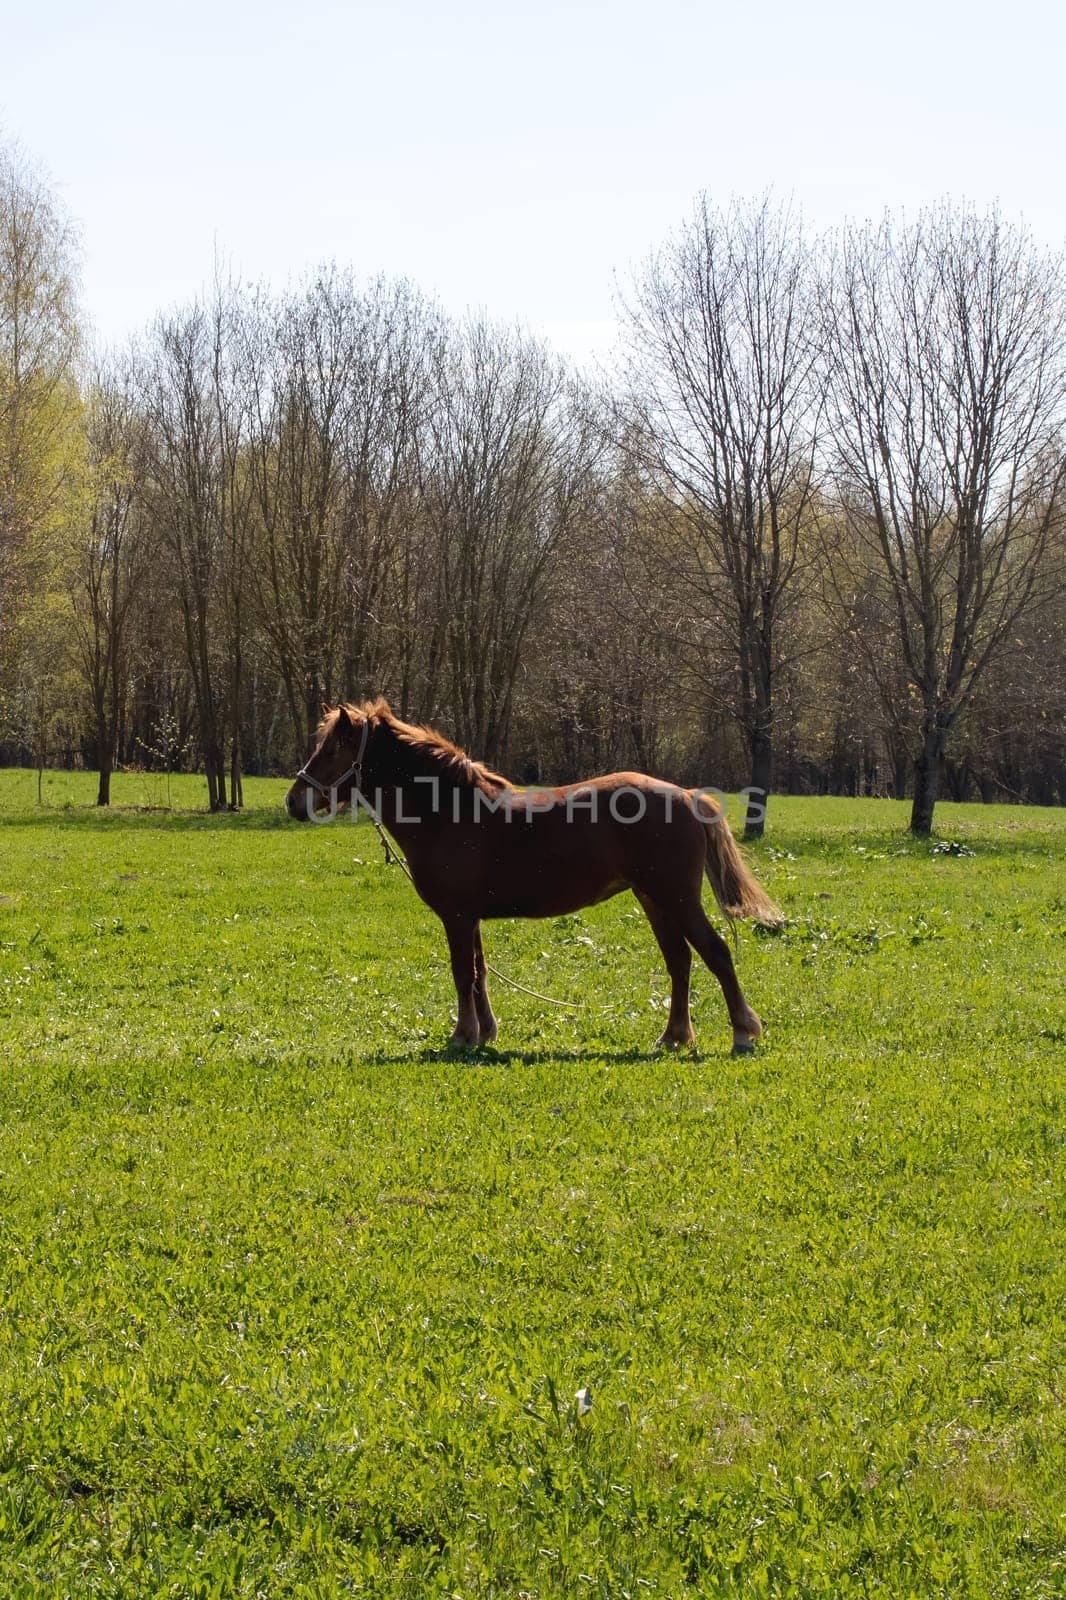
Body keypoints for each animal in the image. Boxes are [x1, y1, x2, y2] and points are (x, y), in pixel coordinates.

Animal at [284, 697, 781, 1049]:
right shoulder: (470, 917)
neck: (450, 812)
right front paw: (484, 1031)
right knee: (679, 962)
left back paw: (742, 1031)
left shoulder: (456, 917)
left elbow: (462, 972)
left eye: (333, 749)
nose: (293, 801)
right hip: (654, 900)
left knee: (716, 953)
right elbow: (480, 972)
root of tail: (687, 795)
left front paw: (462, 1035)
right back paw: (674, 1036)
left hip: (676, 898)